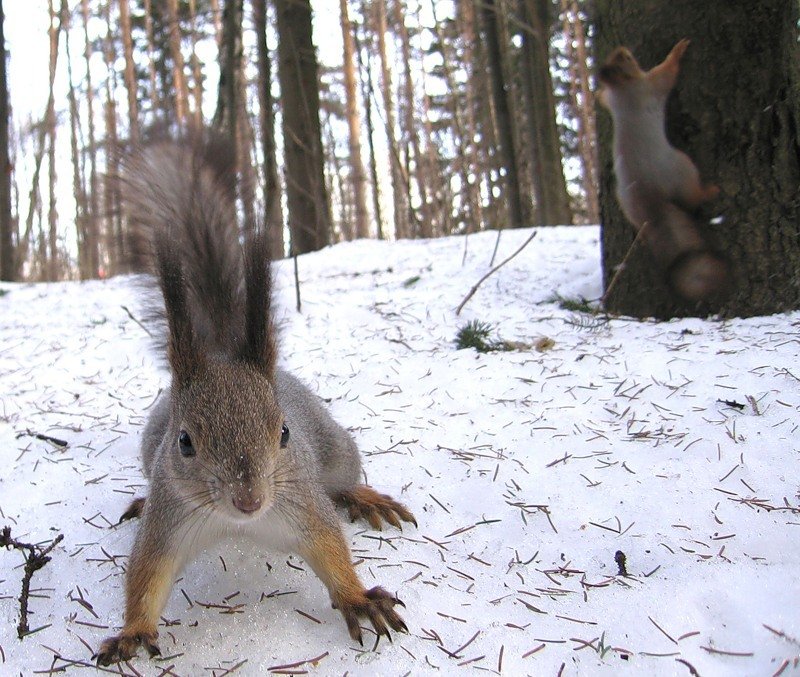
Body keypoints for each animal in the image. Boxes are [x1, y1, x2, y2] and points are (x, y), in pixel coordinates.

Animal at [97, 133, 416, 664]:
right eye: (184, 442)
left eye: (283, 432)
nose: (250, 501)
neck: (236, 524)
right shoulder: (169, 521)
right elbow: (146, 575)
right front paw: (133, 632)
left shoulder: (302, 505)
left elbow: (331, 549)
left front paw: (356, 598)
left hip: (335, 447)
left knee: (343, 479)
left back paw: (364, 496)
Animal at [596, 37, 728, 302]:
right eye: (626, 58)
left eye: (618, 57)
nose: (623, 49)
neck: (622, 88)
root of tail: (651, 203)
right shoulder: (651, 84)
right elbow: (668, 72)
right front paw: (679, 49)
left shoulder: (617, 98)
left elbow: (605, 99)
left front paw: (596, 94)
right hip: (682, 166)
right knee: (692, 197)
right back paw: (711, 191)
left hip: (627, 205)